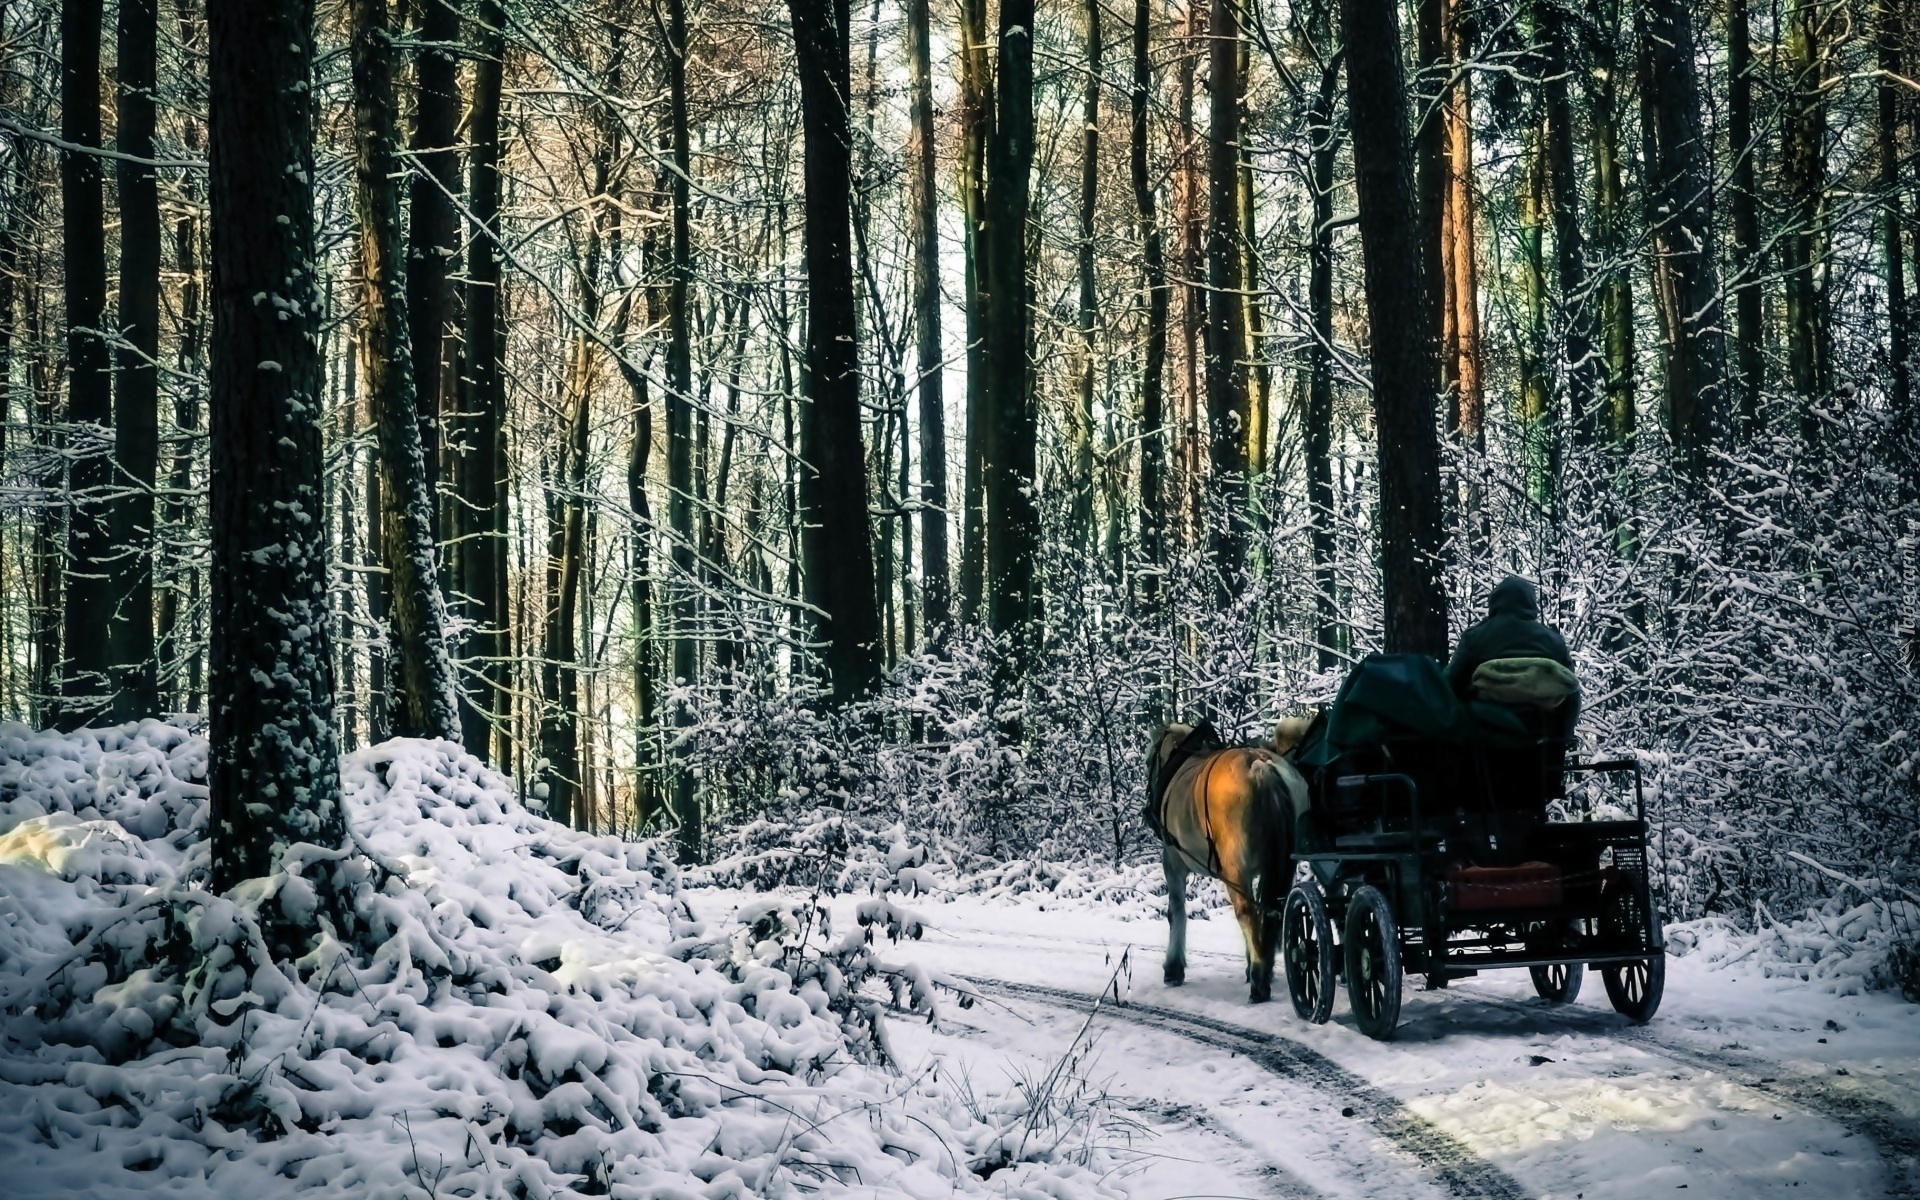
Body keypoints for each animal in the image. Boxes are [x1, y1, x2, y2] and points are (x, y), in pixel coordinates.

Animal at [1144, 721, 1313, 998]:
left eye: (1149, 760)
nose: (1148, 811)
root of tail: (1260, 765)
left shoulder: (1173, 861)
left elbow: (1176, 910)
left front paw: (1173, 968)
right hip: (1280, 863)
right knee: (1270, 910)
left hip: (1233, 869)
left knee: (1247, 912)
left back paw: (1258, 980)